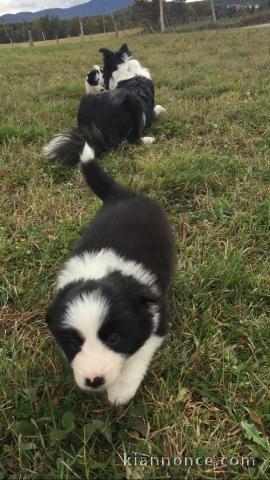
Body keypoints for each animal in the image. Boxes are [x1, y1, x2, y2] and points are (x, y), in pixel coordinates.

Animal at [45, 148, 176, 404]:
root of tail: (121, 195)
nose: (94, 380)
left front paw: (121, 391)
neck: (98, 273)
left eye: (113, 338)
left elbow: (139, 351)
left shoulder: (156, 316)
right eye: (74, 343)